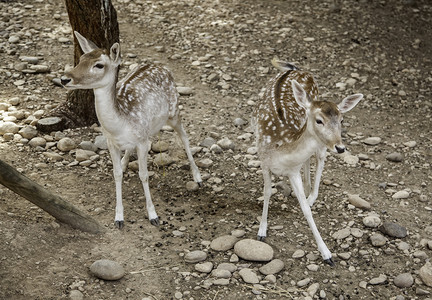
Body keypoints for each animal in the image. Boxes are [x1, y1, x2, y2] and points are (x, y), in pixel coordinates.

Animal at [60, 31, 202, 229]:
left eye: (99, 65)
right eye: (81, 59)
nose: (65, 78)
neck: (121, 124)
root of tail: (161, 66)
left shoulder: (142, 141)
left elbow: (144, 175)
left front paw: (153, 215)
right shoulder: (111, 142)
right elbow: (117, 174)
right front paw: (119, 218)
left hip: (174, 110)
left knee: (185, 137)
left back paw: (198, 177)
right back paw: (125, 162)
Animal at [255, 58, 362, 264]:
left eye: (342, 120)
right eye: (319, 120)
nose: (340, 147)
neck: (281, 149)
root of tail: (297, 70)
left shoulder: (293, 171)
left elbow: (305, 208)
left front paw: (327, 254)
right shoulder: (263, 160)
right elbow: (267, 193)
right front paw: (261, 231)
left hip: (320, 144)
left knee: (319, 159)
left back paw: (310, 193)